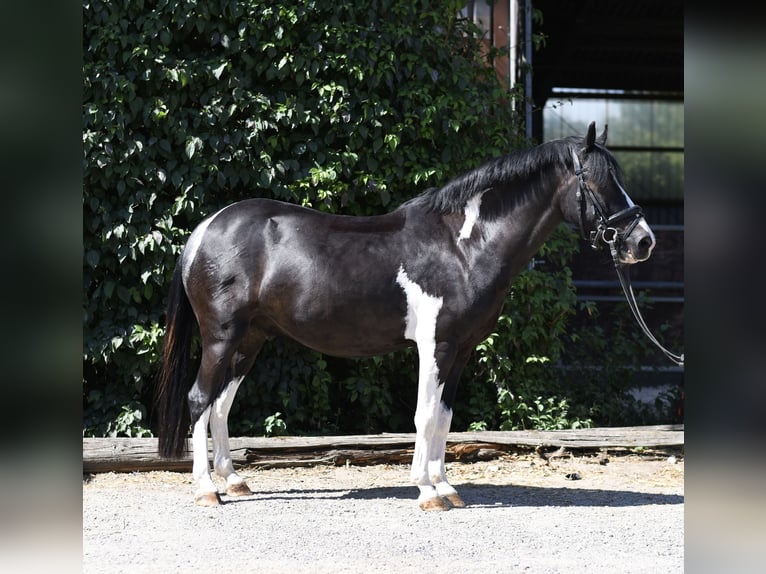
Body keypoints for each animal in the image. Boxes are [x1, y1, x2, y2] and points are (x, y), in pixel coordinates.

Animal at [156, 122, 656, 510]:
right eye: (600, 182)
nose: (643, 241)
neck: (462, 246)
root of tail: (205, 229)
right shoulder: (436, 346)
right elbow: (424, 415)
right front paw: (427, 492)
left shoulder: (460, 350)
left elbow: (445, 418)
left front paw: (447, 488)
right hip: (221, 337)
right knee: (199, 400)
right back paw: (206, 490)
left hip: (250, 340)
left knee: (221, 404)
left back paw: (234, 481)